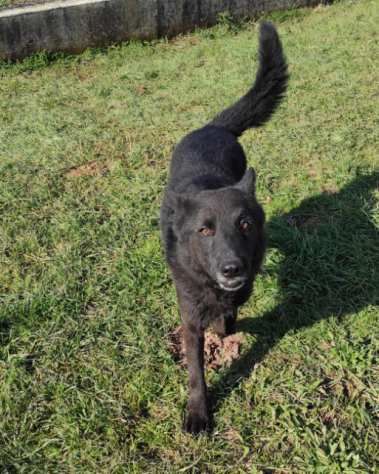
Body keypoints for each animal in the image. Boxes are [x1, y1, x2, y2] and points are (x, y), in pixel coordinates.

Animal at [160, 22, 288, 434]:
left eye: (244, 224)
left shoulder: (240, 289)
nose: (232, 268)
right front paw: (198, 413)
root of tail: (213, 126)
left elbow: (229, 316)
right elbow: (196, 372)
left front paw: (225, 324)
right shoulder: (189, 317)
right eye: (205, 231)